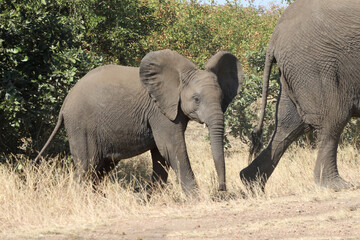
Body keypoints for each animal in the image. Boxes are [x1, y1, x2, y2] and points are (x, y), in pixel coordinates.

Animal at [35, 49, 243, 194]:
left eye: (221, 98)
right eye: (197, 99)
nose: (221, 189)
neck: (178, 79)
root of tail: (65, 103)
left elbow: (161, 153)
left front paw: (152, 198)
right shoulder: (159, 110)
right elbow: (171, 147)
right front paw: (197, 199)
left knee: (102, 167)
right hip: (81, 125)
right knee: (87, 165)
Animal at [240, 0, 360, 191]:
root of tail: (274, 37)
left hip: (295, 73)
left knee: (288, 126)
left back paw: (251, 183)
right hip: (314, 67)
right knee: (333, 119)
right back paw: (336, 185)